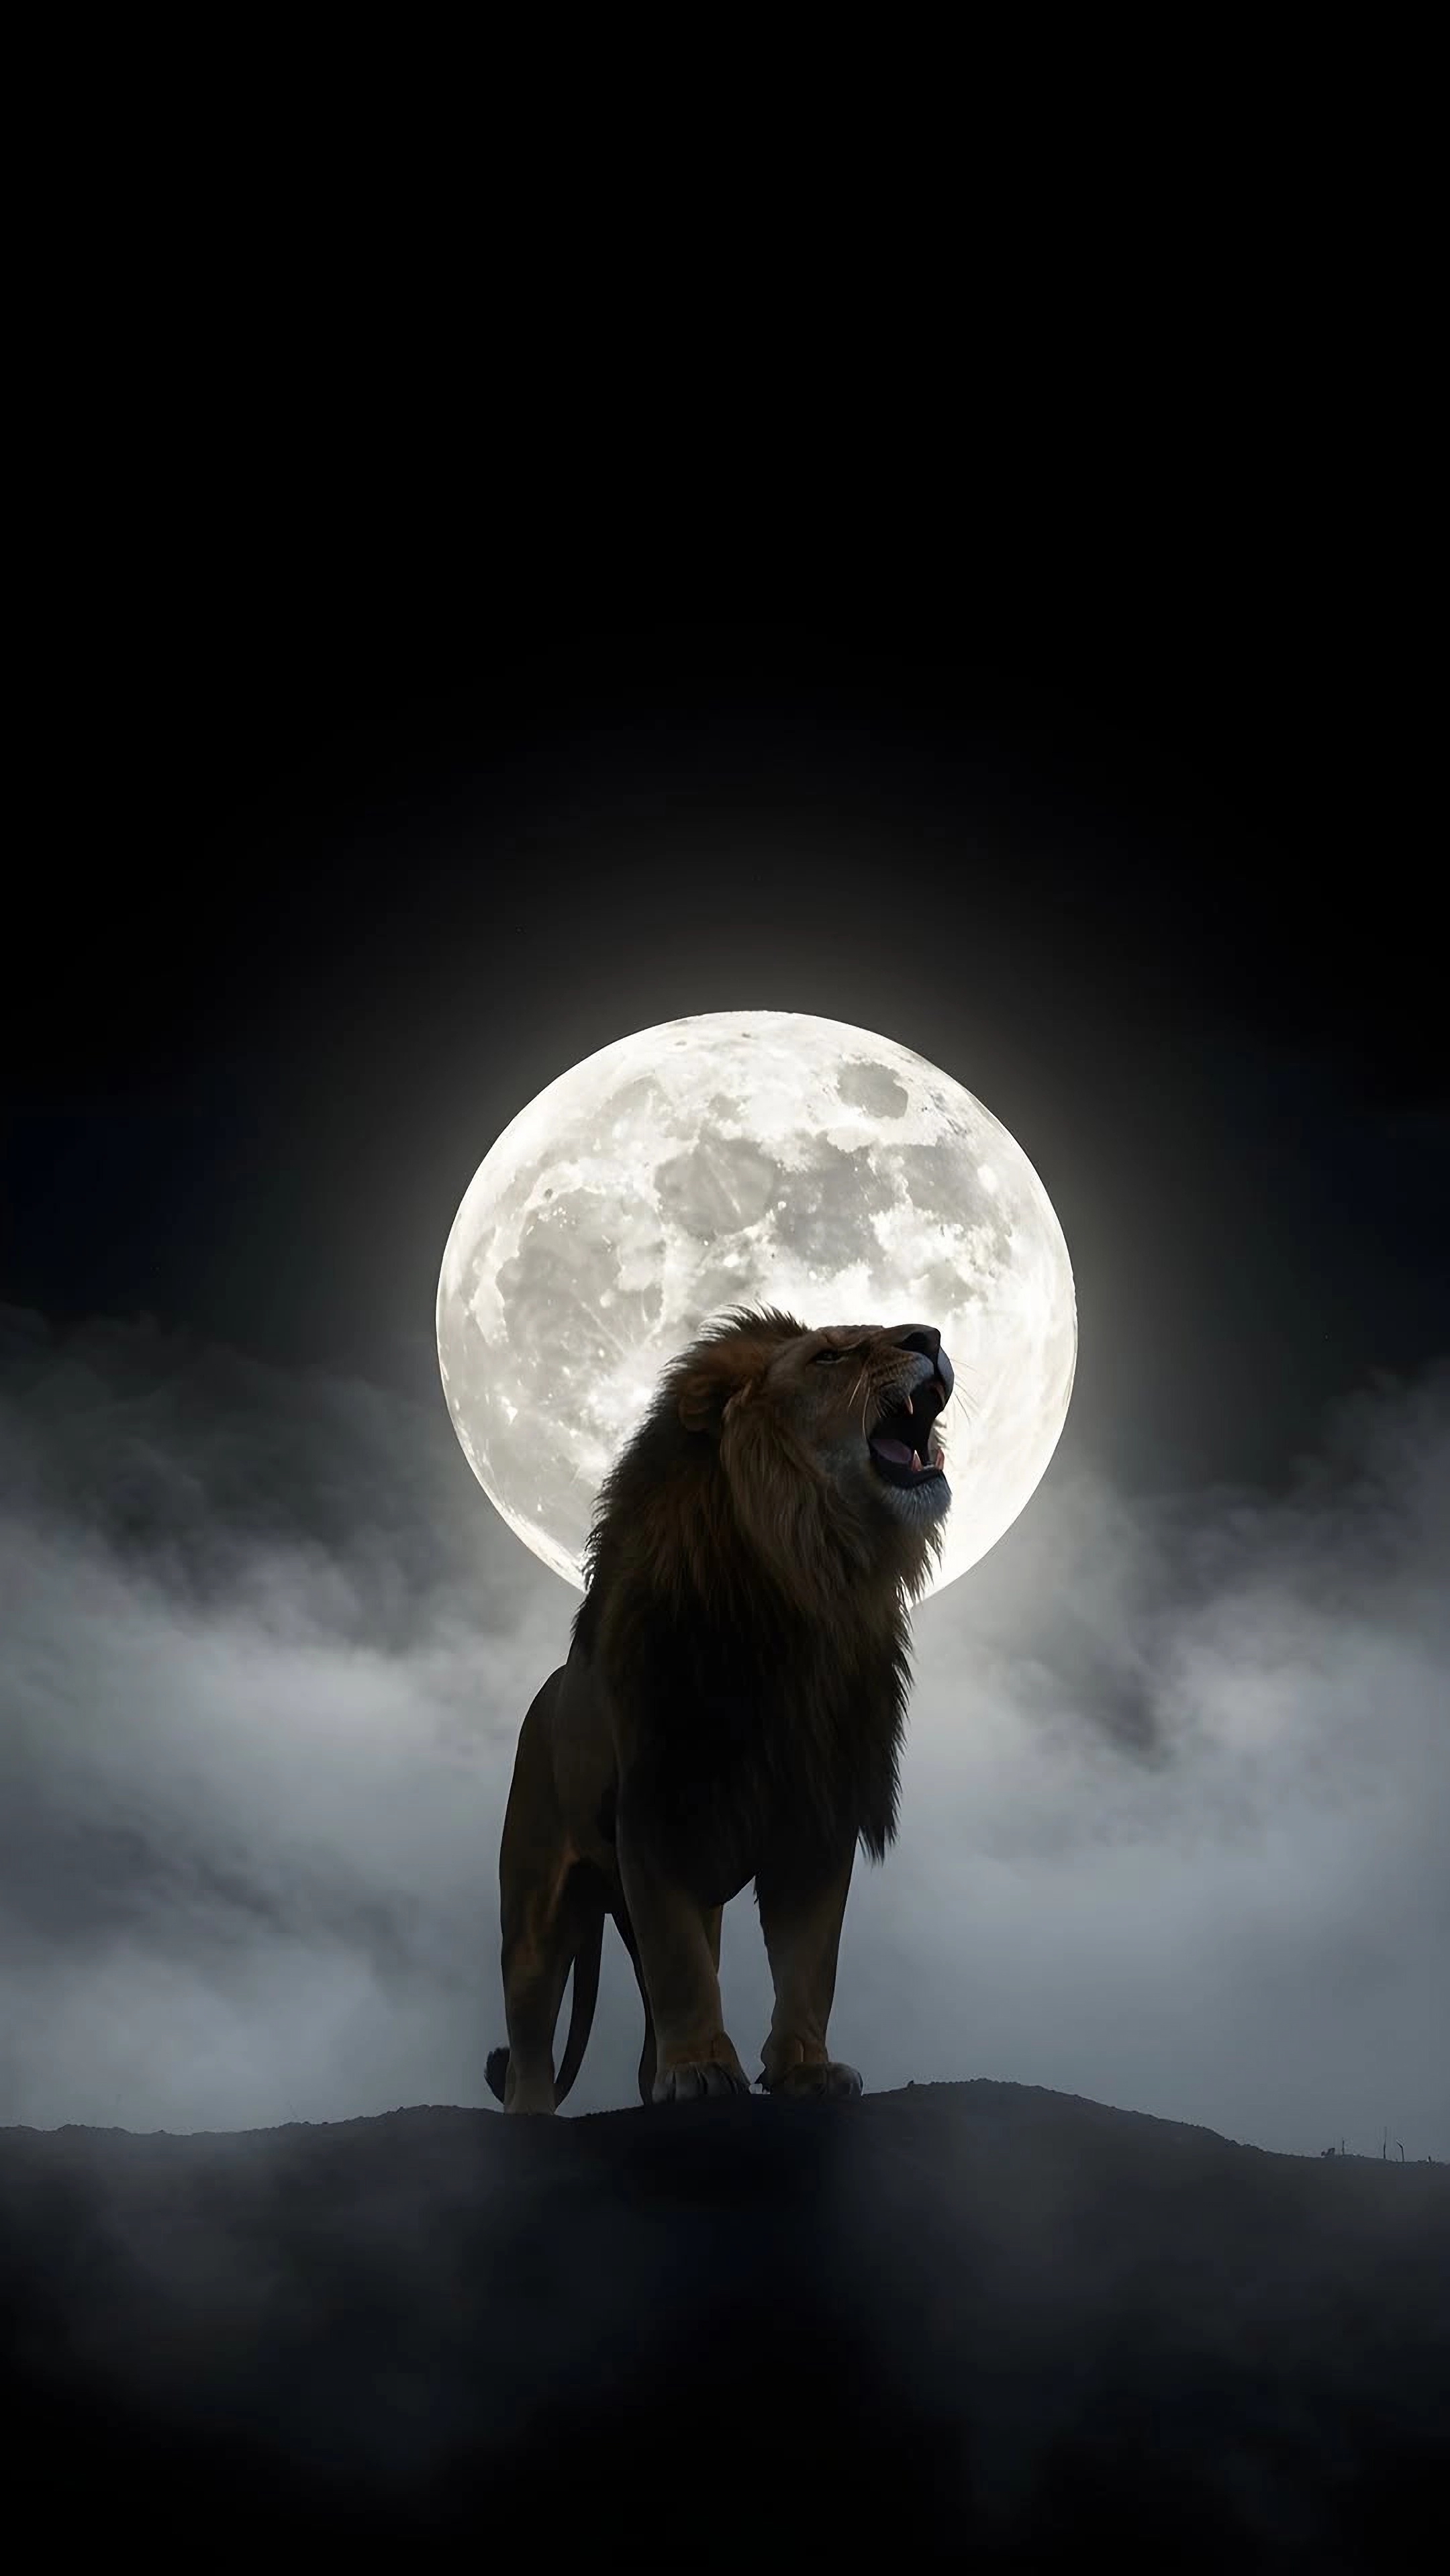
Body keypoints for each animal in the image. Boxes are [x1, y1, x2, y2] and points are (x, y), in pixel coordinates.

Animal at [484, 1306, 954, 2113]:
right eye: (831, 1355)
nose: (930, 1336)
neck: (804, 1583)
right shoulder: (658, 1811)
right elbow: (681, 1965)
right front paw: (701, 2071)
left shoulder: (817, 1816)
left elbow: (809, 1966)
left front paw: (805, 2070)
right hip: (536, 1904)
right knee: (530, 2045)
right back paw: (536, 2112)